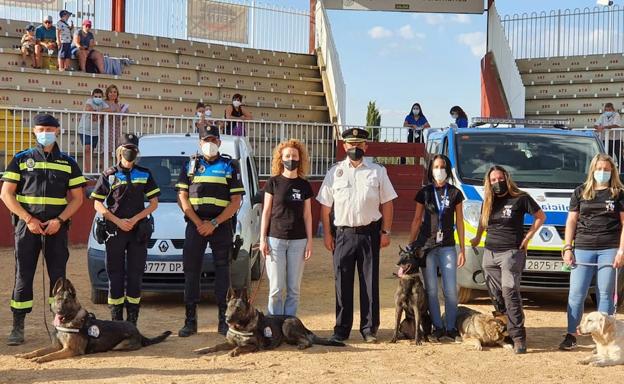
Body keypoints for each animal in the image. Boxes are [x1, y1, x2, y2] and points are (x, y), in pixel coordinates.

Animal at [14, 280, 171, 364]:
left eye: (66, 302)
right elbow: (38, 350)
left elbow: (50, 355)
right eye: (58, 300)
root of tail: (138, 330)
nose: (58, 311)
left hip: (119, 346)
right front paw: (25, 355)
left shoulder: (69, 350)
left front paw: (40, 359)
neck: (68, 323)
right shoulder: (56, 346)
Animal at [195, 286, 346, 356]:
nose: (227, 319)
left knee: (308, 341)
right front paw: (204, 350)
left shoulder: (253, 346)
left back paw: (302, 345)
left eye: (238, 309)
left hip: (286, 324)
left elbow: (240, 347)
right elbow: (216, 346)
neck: (241, 326)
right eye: (229, 307)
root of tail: (300, 322)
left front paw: (234, 351)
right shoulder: (229, 342)